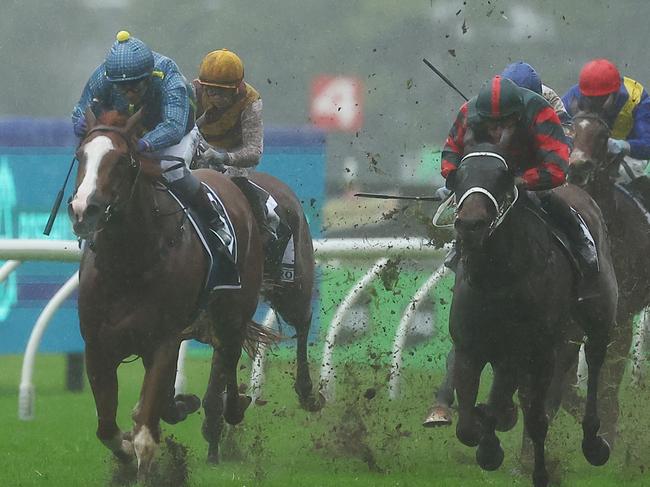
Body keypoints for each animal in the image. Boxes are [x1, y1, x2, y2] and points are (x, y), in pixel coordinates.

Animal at [67, 109, 268, 476]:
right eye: (80, 155)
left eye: (122, 160)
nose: (84, 209)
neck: (129, 264)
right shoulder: (98, 346)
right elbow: (108, 430)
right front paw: (126, 452)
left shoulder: (163, 341)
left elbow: (146, 438)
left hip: (233, 311)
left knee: (229, 355)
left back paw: (232, 406)